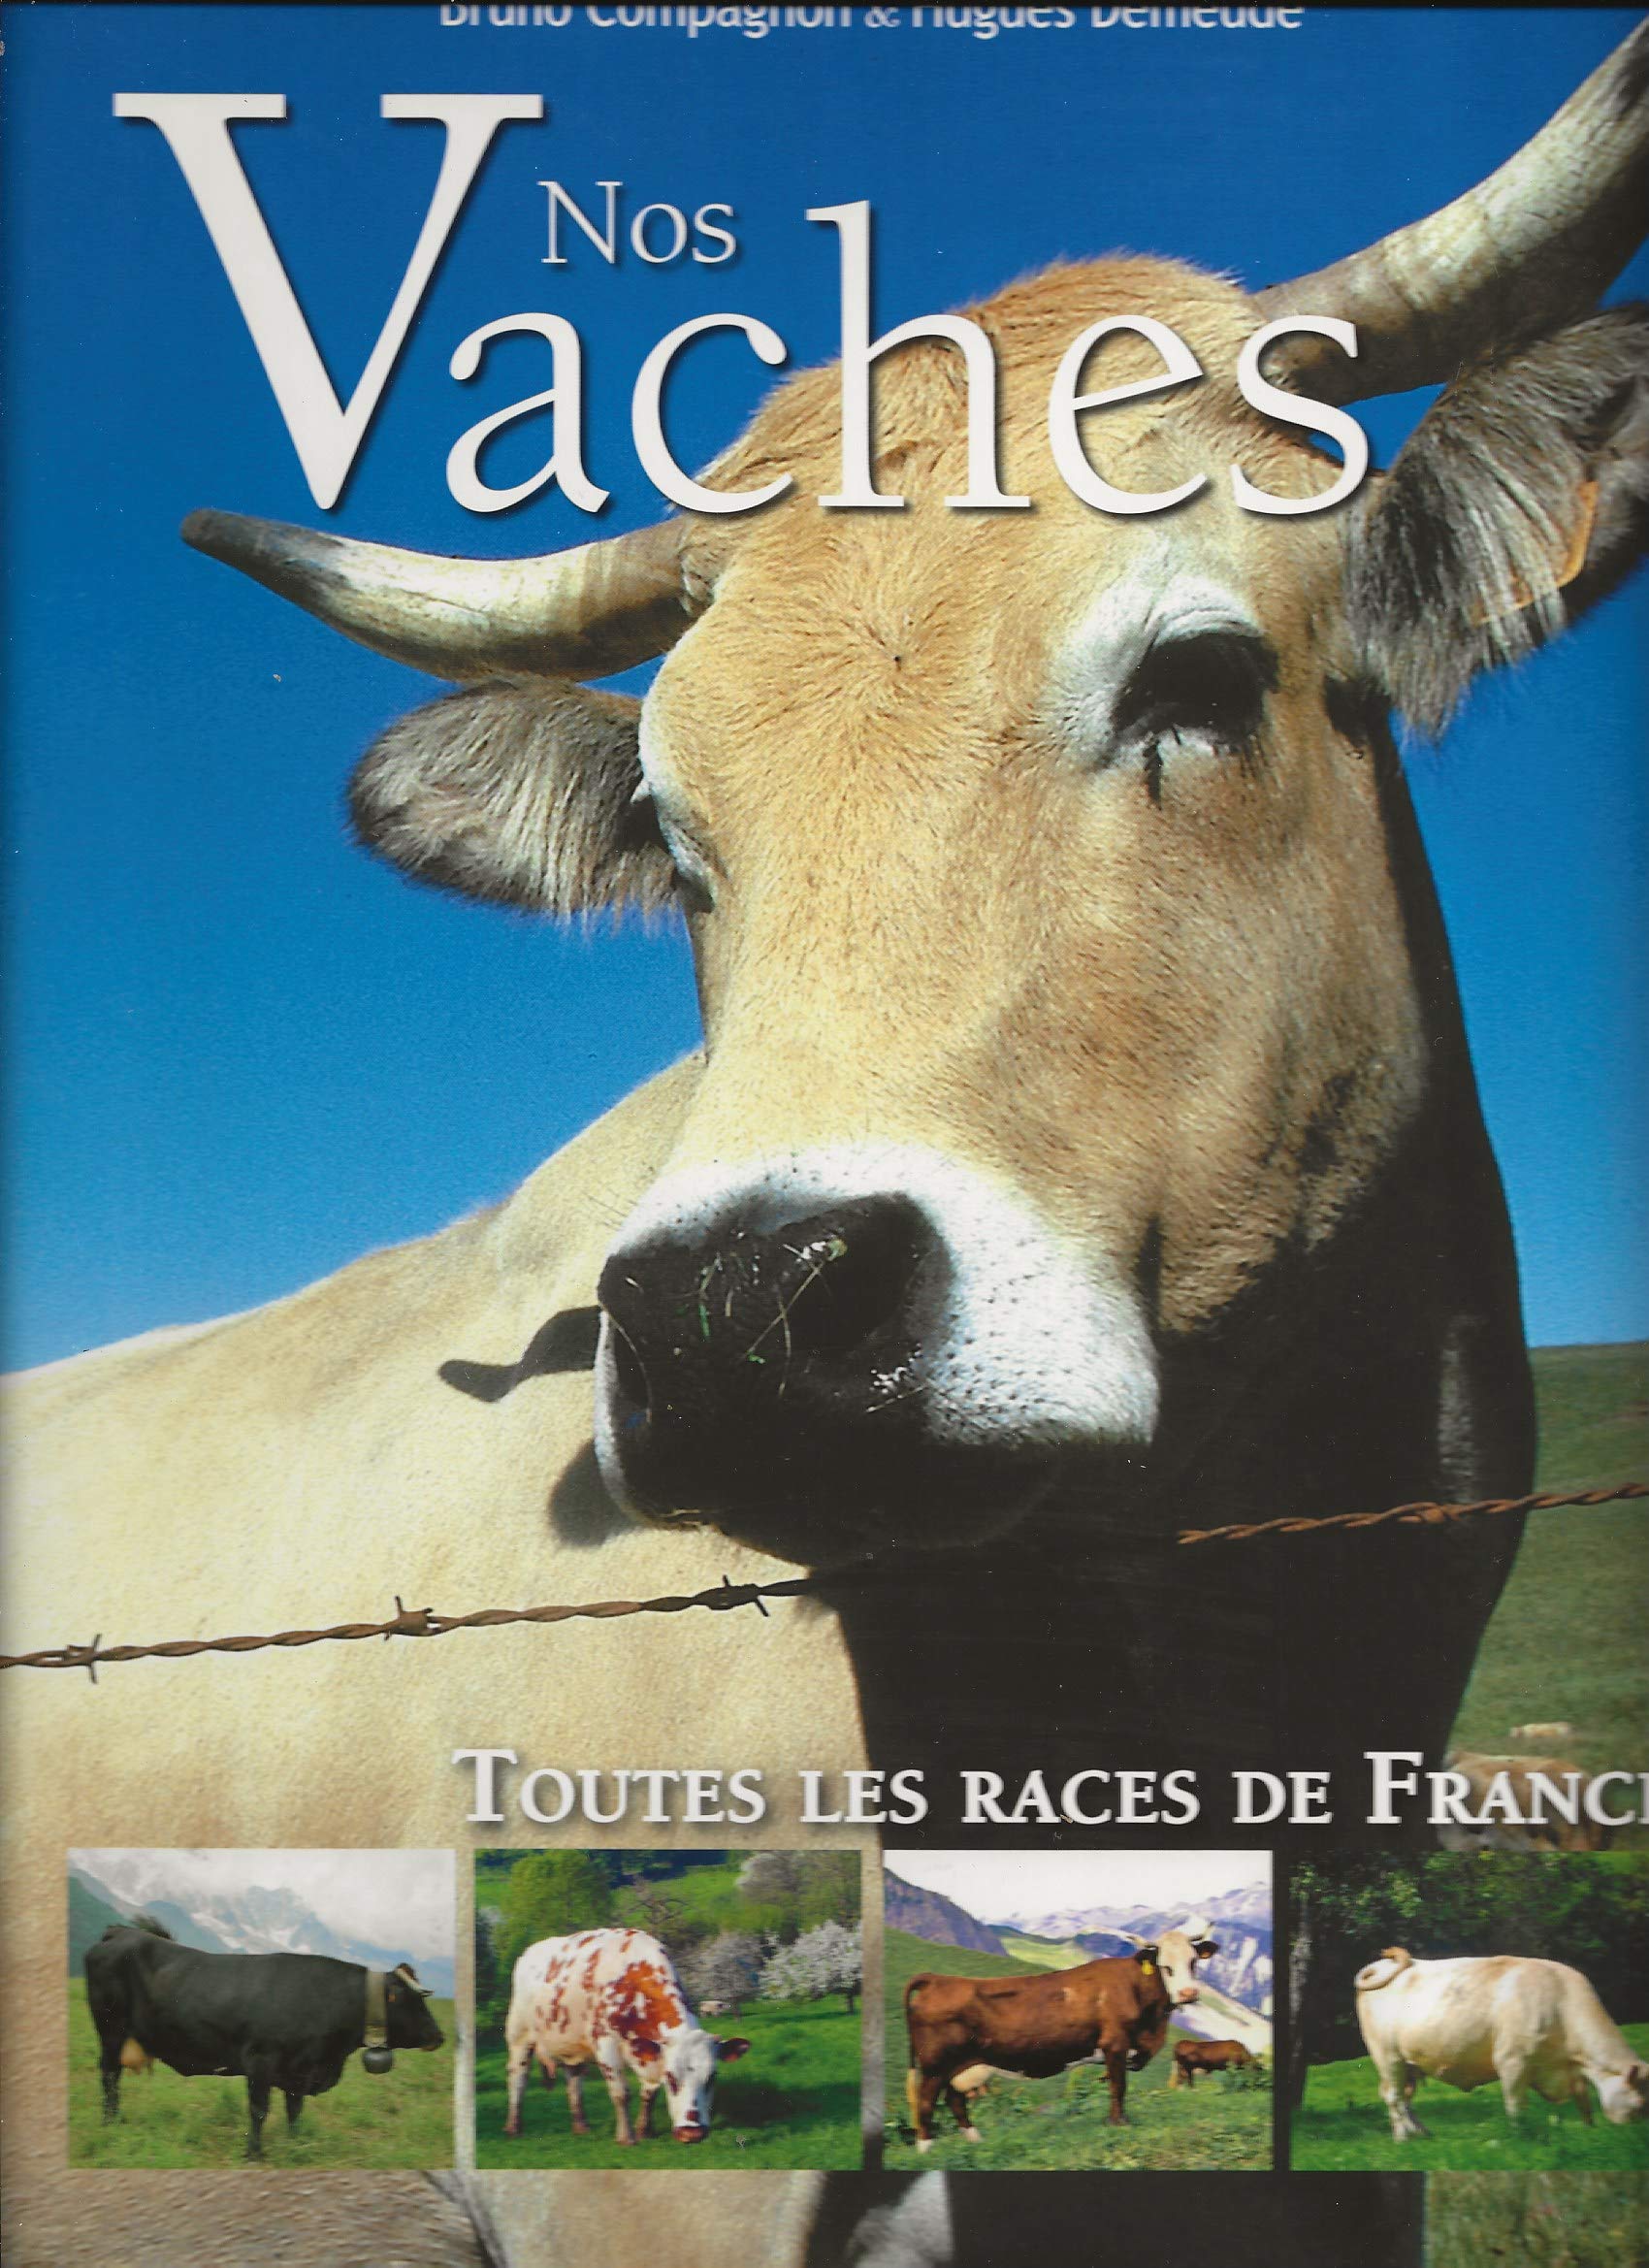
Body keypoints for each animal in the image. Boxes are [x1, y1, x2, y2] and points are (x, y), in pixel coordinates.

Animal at [82, 1923, 443, 2160]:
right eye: (411, 2000)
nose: (439, 2036)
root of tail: (121, 1932)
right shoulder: (260, 2060)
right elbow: (259, 2110)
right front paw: (254, 2153)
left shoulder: (300, 2070)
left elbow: (294, 2109)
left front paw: (296, 2143)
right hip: (110, 2031)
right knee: (109, 2076)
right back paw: (110, 2123)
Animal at [502, 1928, 749, 2147]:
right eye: (671, 2078)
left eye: (712, 2077)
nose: (692, 2133)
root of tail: (530, 1950)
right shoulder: (606, 2044)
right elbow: (621, 2093)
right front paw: (627, 2137)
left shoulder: (651, 2052)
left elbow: (649, 2093)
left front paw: (644, 2130)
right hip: (520, 2034)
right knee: (518, 2076)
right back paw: (513, 2127)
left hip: (572, 2042)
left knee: (574, 2079)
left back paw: (581, 2126)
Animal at [904, 1930, 1216, 2145]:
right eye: (1165, 1966)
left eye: (1193, 1962)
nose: (1188, 1993)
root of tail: (937, 1979)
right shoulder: (1115, 2044)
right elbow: (1118, 2087)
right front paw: (1119, 2123)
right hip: (934, 2064)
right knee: (926, 2102)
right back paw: (927, 2149)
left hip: (962, 2064)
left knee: (954, 2099)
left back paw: (975, 2141)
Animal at [1353, 1945, 1649, 2139]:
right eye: (1640, 2106)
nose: (1635, 2141)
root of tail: (1378, 1966)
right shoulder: (1513, 2061)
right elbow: (1516, 2106)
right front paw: (1521, 2139)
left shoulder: (1571, 2071)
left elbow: (1585, 2106)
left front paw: (1590, 2133)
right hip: (1388, 2057)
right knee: (1395, 2098)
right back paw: (1406, 2139)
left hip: (1408, 2065)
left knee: (1401, 2098)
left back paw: (1419, 2135)